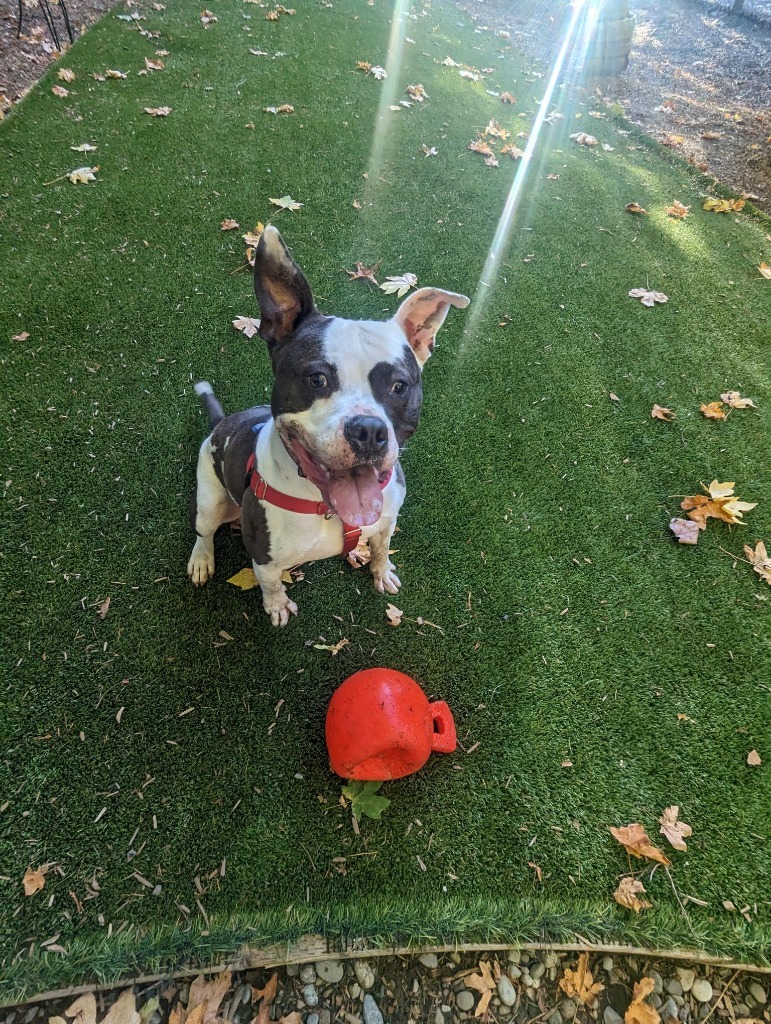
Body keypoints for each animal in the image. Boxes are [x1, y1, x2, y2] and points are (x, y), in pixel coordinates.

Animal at [189, 226, 468, 622]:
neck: (329, 508)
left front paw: (381, 571)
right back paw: (201, 560)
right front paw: (277, 606)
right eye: (317, 379)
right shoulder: (263, 558)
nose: (368, 431)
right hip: (209, 498)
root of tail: (222, 422)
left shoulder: (386, 521)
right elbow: (270, 585)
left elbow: (381, 548)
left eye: (399, 386)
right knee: (204, 530)